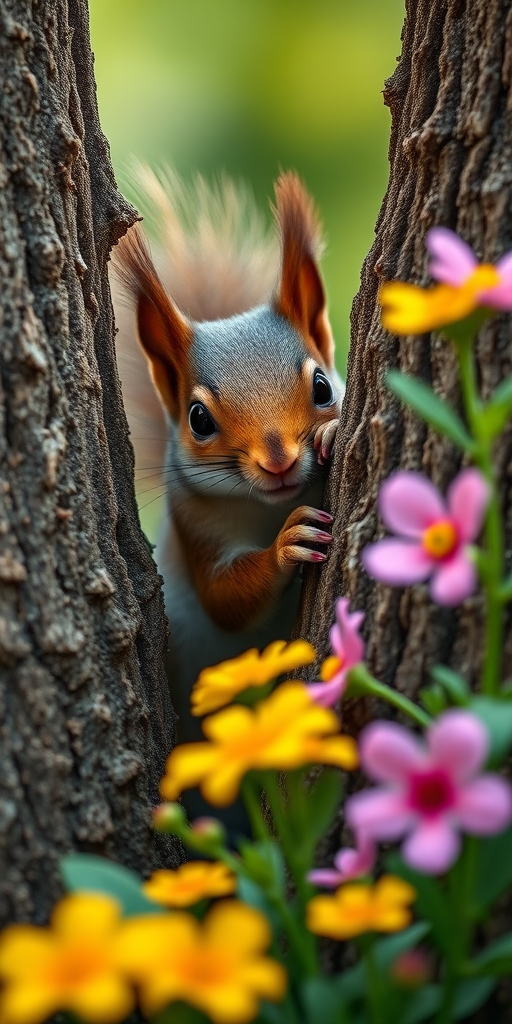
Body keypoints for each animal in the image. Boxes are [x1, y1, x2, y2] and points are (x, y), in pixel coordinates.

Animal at [113, 168, 344, 822]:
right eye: (198, 418)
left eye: (323, 386)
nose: (279, 460)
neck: (266, 508)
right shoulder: (194, 527)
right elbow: (226, 598)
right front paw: (290, 545)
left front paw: (328, 435)